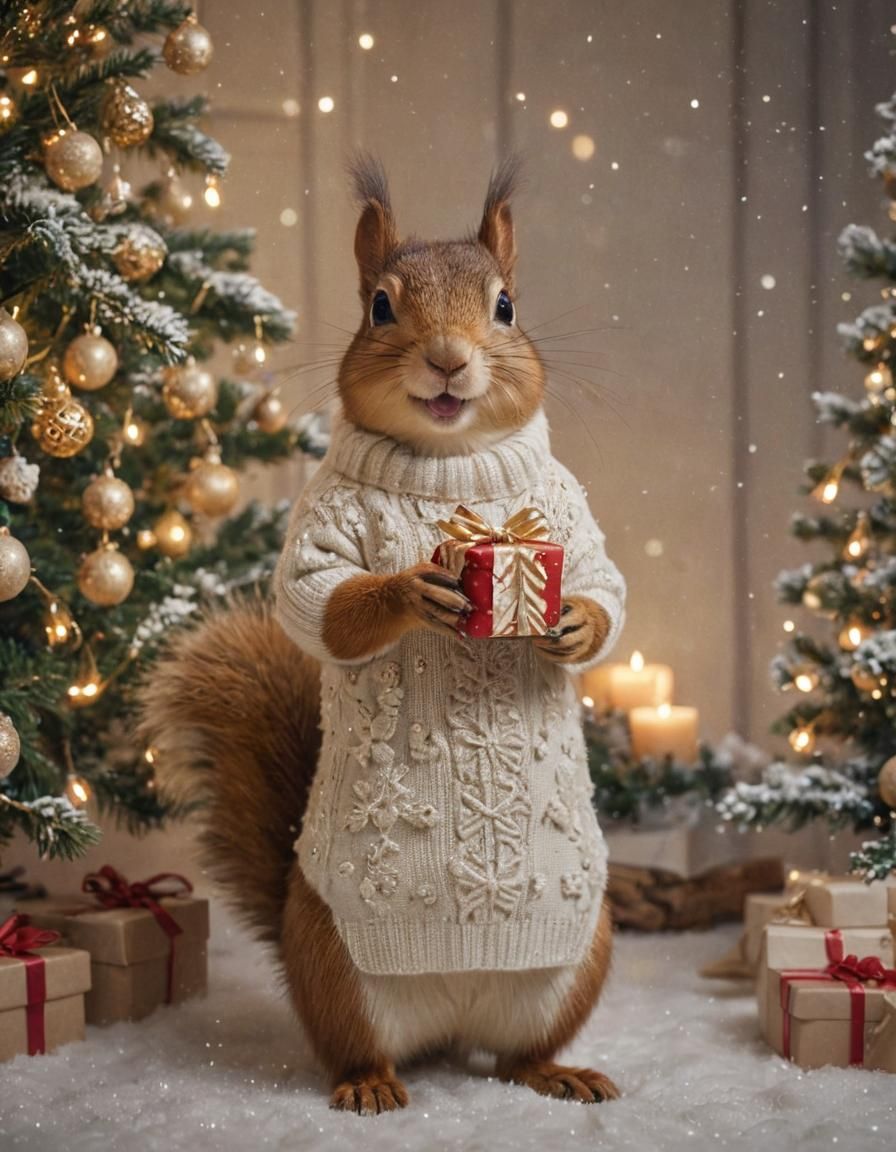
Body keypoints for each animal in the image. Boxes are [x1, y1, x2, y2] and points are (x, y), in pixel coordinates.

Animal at [140, 156, 626, 1116]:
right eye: (380, 307)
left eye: (506, 305)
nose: (448, 359)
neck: (450, 465)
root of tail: (451, 1021)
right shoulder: (319, 532)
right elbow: (326, 602)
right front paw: (411, 587)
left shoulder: (571, 516)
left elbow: (604, 584)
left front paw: (572, 620)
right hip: (338, 962)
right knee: (357, 1046)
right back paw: (370, 1086)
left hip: (577, 953)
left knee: (521, 1052)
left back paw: (557, 1072)